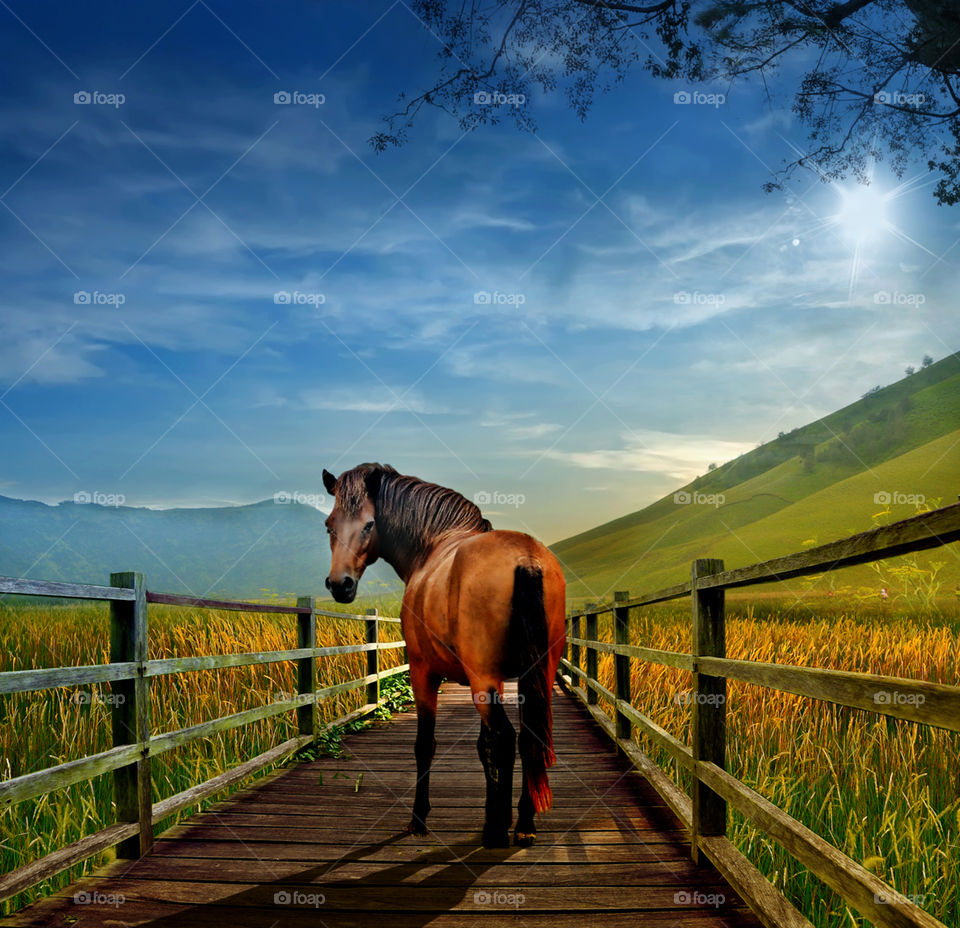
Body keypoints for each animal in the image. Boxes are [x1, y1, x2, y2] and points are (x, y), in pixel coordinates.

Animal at [321, 463, 566, 848]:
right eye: (329, 524)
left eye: (369, 524)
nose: (339, 584)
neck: (432, 545)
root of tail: (526, 559)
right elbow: (483, 747)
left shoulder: (424, 673)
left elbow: (426, 745)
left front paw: (419, 818)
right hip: (533, 674)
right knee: (529, 738)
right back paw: (524, 823)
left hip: (482, 678)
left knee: (506, 737)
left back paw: (496, 832)